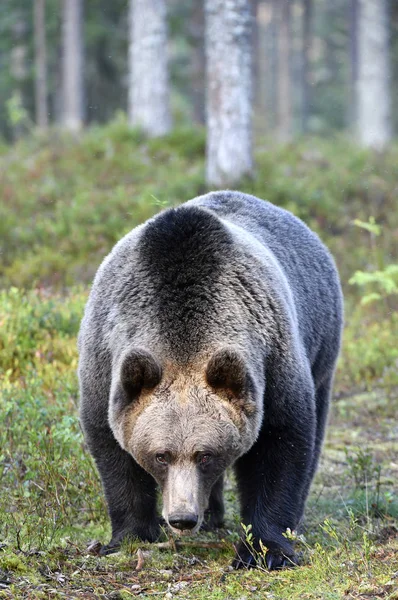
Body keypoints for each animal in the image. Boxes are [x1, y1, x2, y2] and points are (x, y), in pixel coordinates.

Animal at [77, 191, 342, 568]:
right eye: (161, 455)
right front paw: (129, 535)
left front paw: (265, 550)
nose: (182, 518)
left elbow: (280, 446)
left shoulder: (272, 362)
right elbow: (112, 452)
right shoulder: (105, 360)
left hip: (321, 346)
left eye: (205, 455)